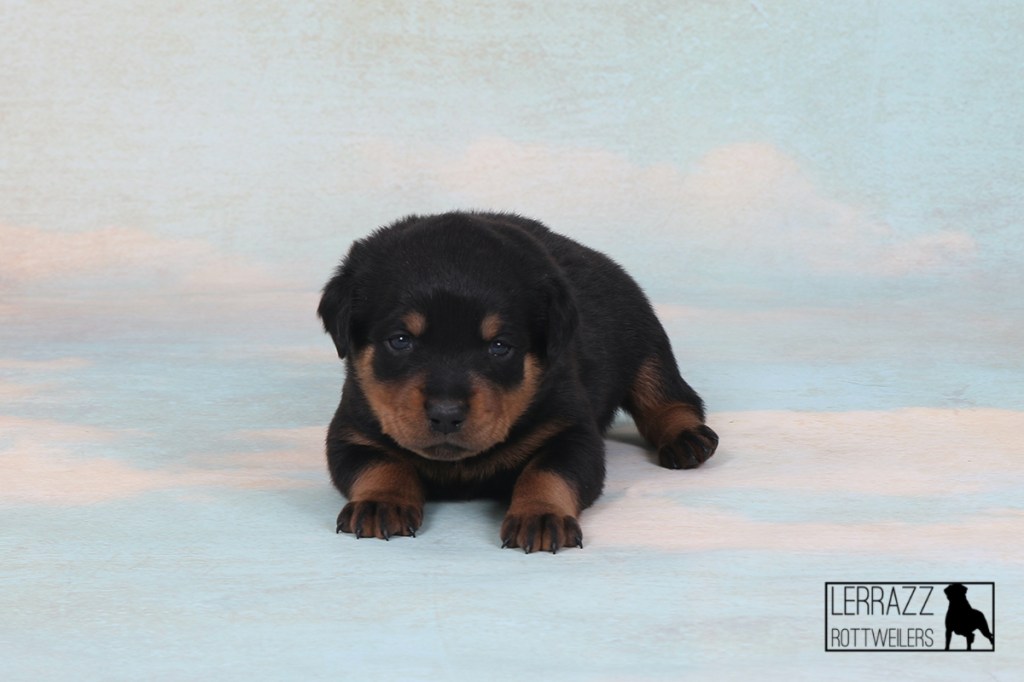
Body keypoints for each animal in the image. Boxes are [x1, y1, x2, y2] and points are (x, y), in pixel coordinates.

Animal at [317, 211, 718, 552]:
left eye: (500, 346)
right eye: (400, 340)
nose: (446, 413)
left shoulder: (571, 429)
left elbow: (548, 470)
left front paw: (540, 515)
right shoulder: (352, 429)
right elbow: (380, 464)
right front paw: (380, 502)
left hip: (644, 342)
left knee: (667, 397)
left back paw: (687, 438)